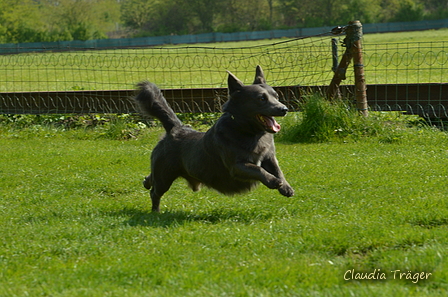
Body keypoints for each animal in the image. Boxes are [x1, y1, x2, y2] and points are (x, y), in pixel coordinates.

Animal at [134, 66, 294, 212]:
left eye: (276, 96)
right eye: (261, 98)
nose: (284, 109)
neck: (250, 133)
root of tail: (176, 128)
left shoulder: (269, 157)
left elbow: (278, 170)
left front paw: (286, 187)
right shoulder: (237, 166)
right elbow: (258, 169)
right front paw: (274, 181)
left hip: (162, 172)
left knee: (152, 179)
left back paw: (146, 182)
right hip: (165, 175)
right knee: (155, 192)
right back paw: (155, 211)